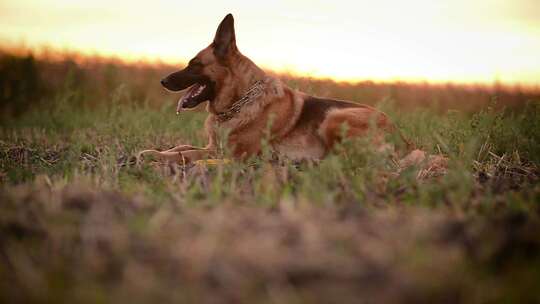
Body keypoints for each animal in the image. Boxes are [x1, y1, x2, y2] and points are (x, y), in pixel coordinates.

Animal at [139, 14, 410, 165]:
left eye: (194, 65)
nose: (163, 80)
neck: (239, 102)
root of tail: (404, 140)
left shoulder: (235, 154)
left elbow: (186, 155)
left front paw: (158, 157)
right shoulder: (214, 147)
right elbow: (182, 147)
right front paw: (155, 150)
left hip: (334, 117)